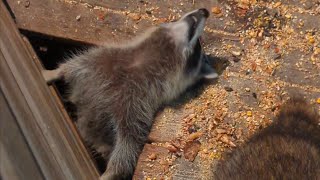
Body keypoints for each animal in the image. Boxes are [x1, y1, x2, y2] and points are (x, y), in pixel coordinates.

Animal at [43, 8, 218, 180]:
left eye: (197, 49)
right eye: (193, 19)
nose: (205, 11)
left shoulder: (137, 104)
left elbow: (128, 143)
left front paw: (112, 172)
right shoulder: (103, 59)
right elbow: (73, 65)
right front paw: (54, 72)